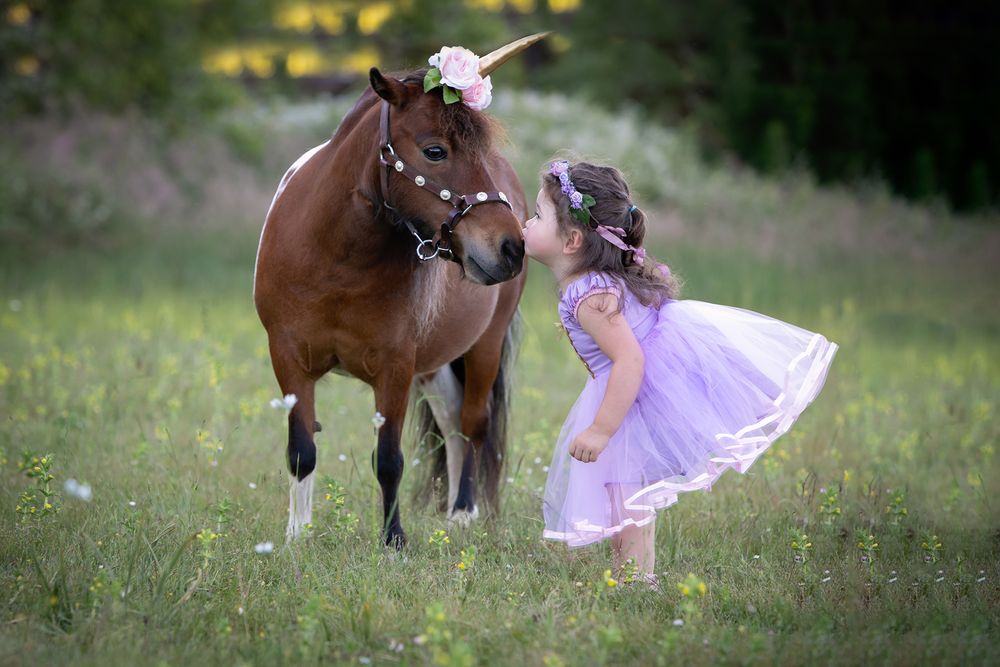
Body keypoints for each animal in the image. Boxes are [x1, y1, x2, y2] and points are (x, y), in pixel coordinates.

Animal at [253, 36, 545, 547]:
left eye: (481, 150)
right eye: (435, 151)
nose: (511, 248)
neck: (336, 260)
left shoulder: (395, 366)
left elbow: (388, 460)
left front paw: (393, 541)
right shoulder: (288, 358)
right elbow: (302, 449)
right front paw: (296, 537)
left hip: (483, 345)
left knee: (471, 424)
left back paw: (463, 512)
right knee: (451, 418)